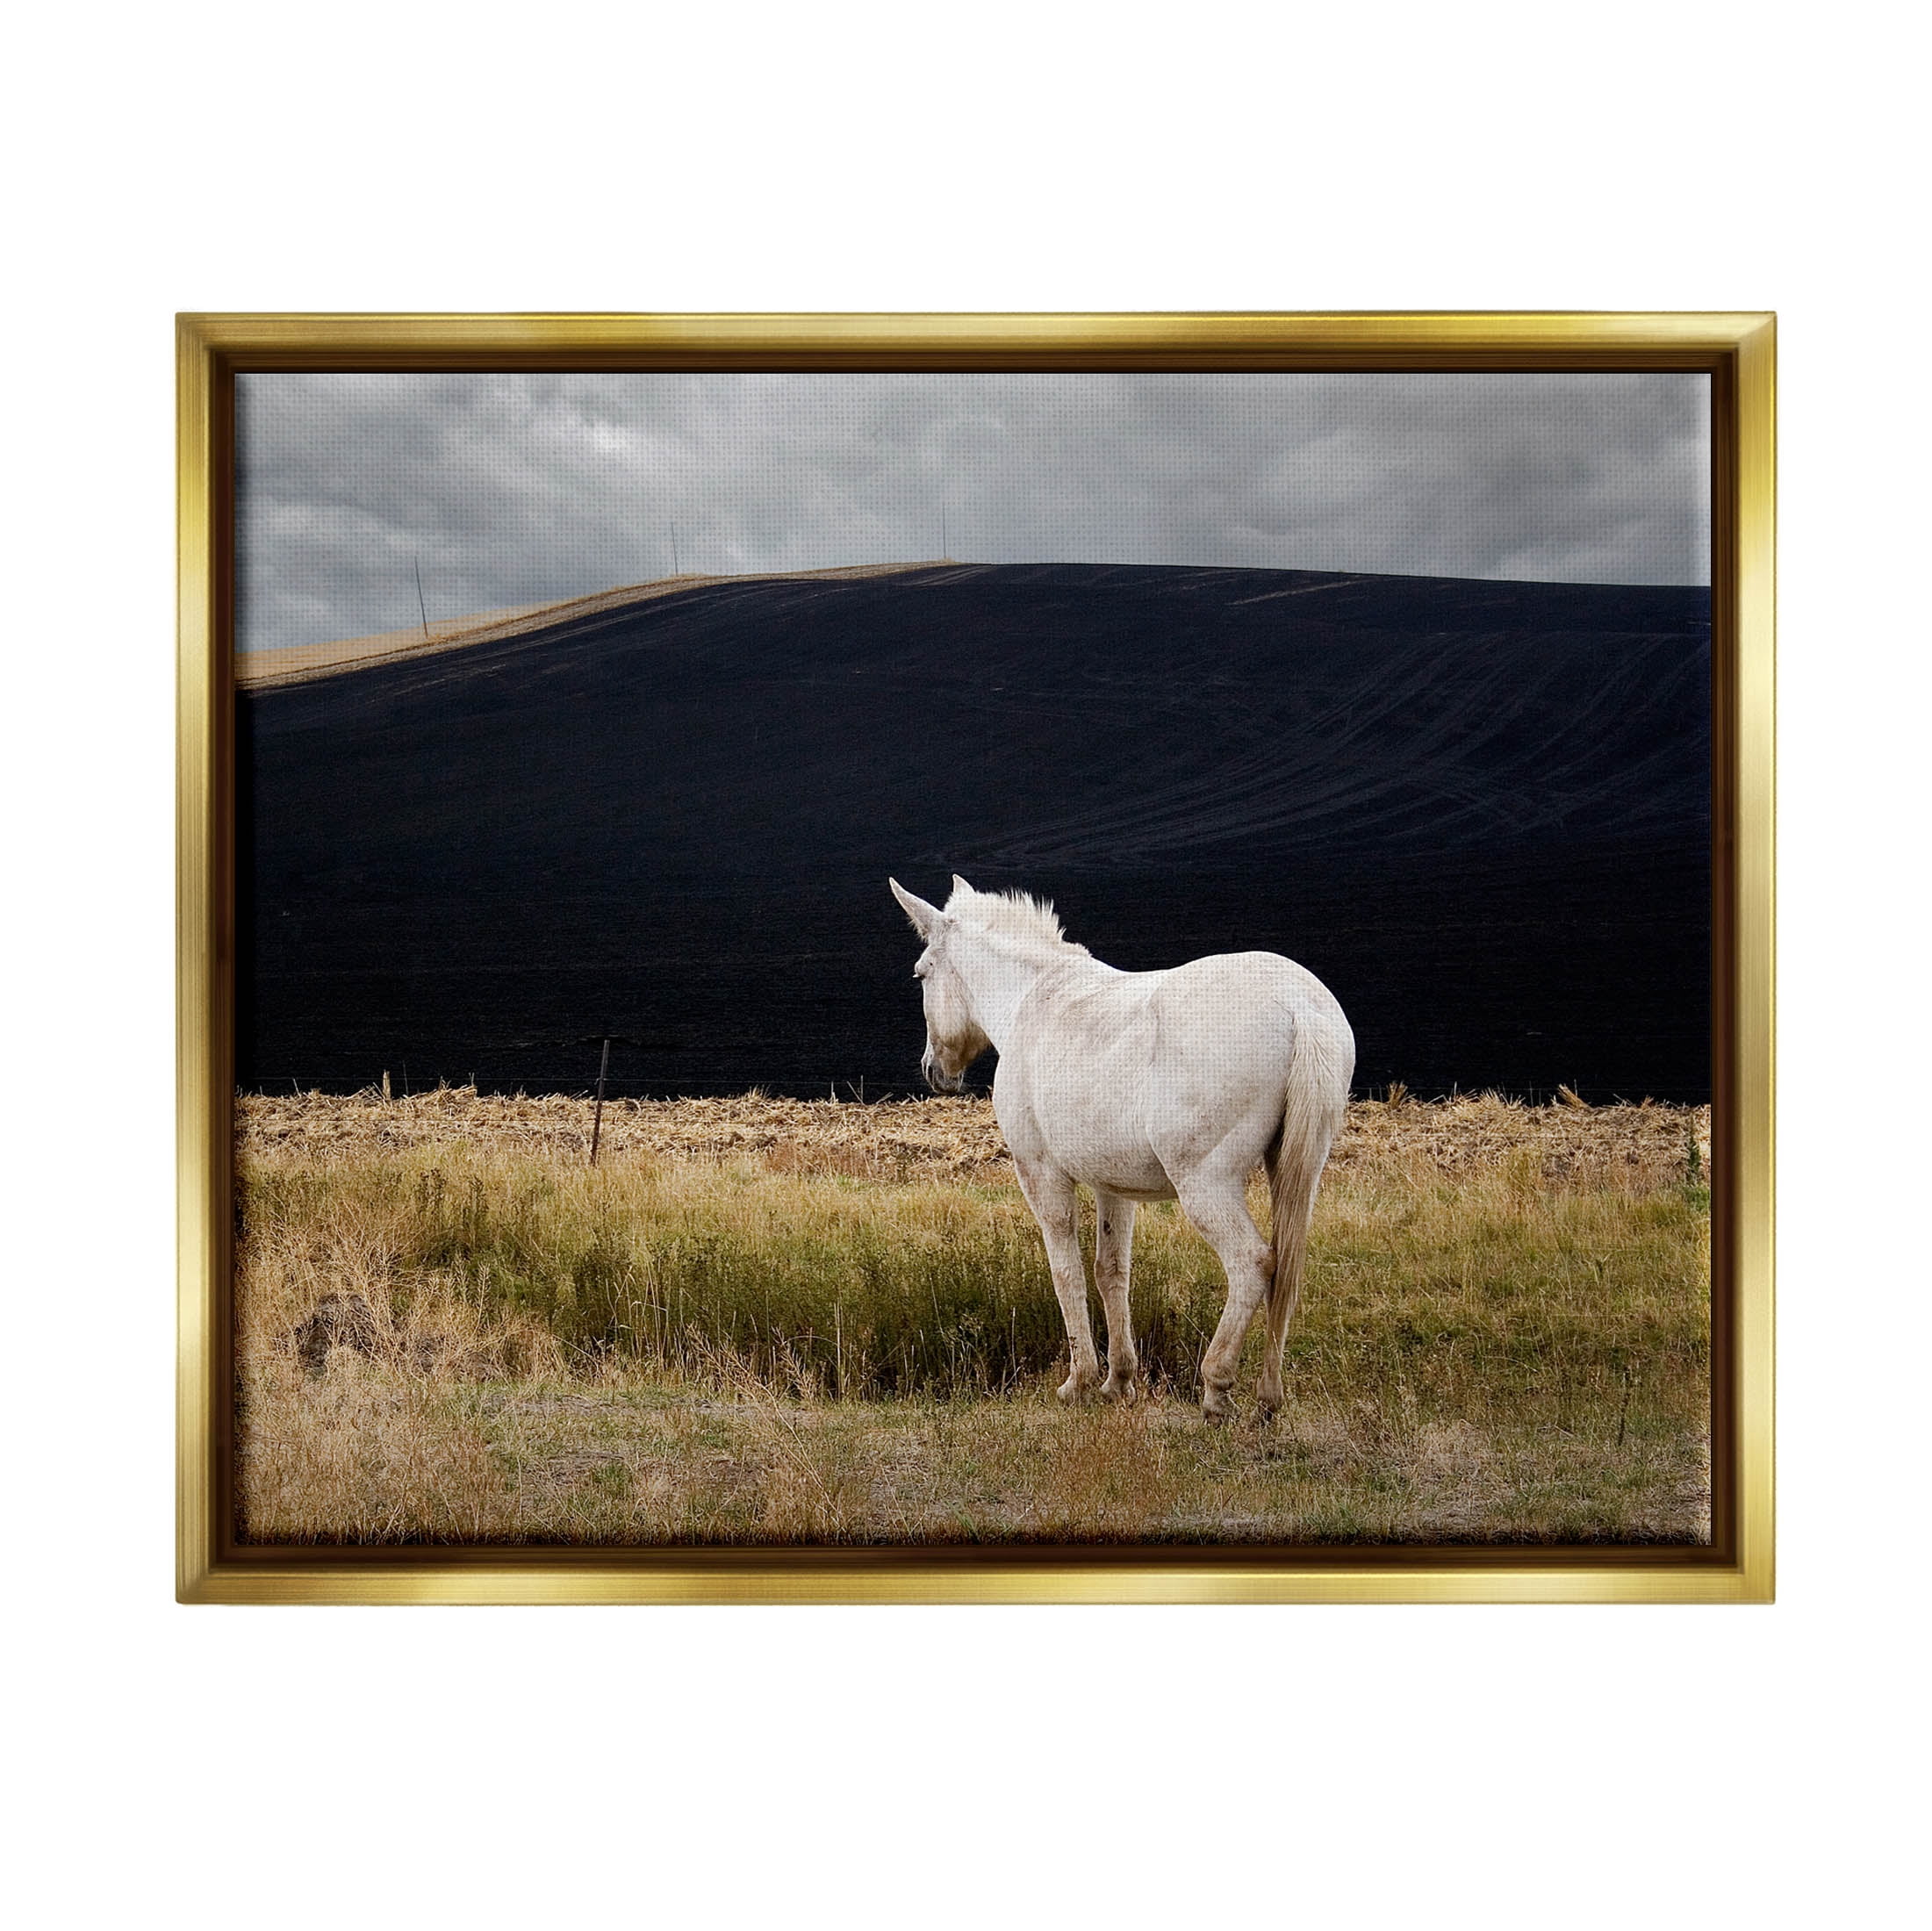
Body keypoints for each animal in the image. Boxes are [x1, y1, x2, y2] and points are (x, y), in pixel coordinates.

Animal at [890, 875, 1354, 1421]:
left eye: (922, 974)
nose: (933, 1071)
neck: (1035, 1001)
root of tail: (1298, 1007)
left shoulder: (1041, 1175)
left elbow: (1066, 1271)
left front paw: (1080, 1381)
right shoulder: (1113, 1186)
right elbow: (1111, 1271)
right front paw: (1119, 1381)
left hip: (1206, 1185)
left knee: (1253, 1262)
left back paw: (1216, 1388)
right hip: (1298, 1173)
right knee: (1286, 1271)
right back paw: (1269, 1396)